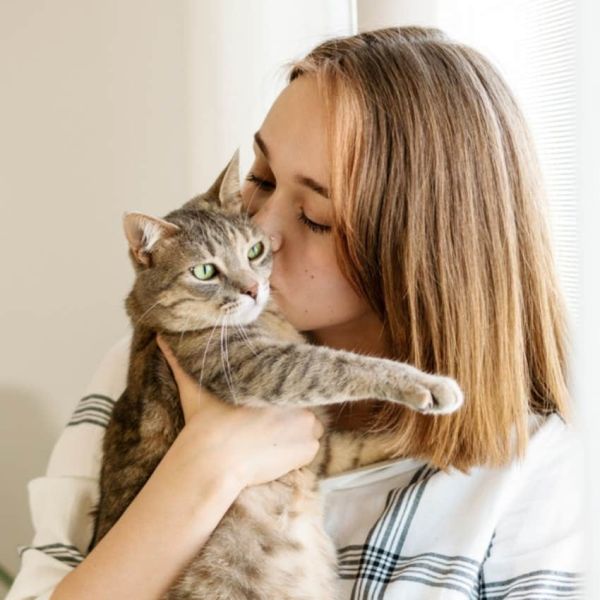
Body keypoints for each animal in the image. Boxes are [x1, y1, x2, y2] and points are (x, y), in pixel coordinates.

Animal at [90, 152, 464, 596]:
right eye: (204, 272)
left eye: (254, 250)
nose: (253, 288)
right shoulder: (259, 367)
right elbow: (339, 364)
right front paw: (429, 385)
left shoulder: (322, 448)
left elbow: (363, 444)